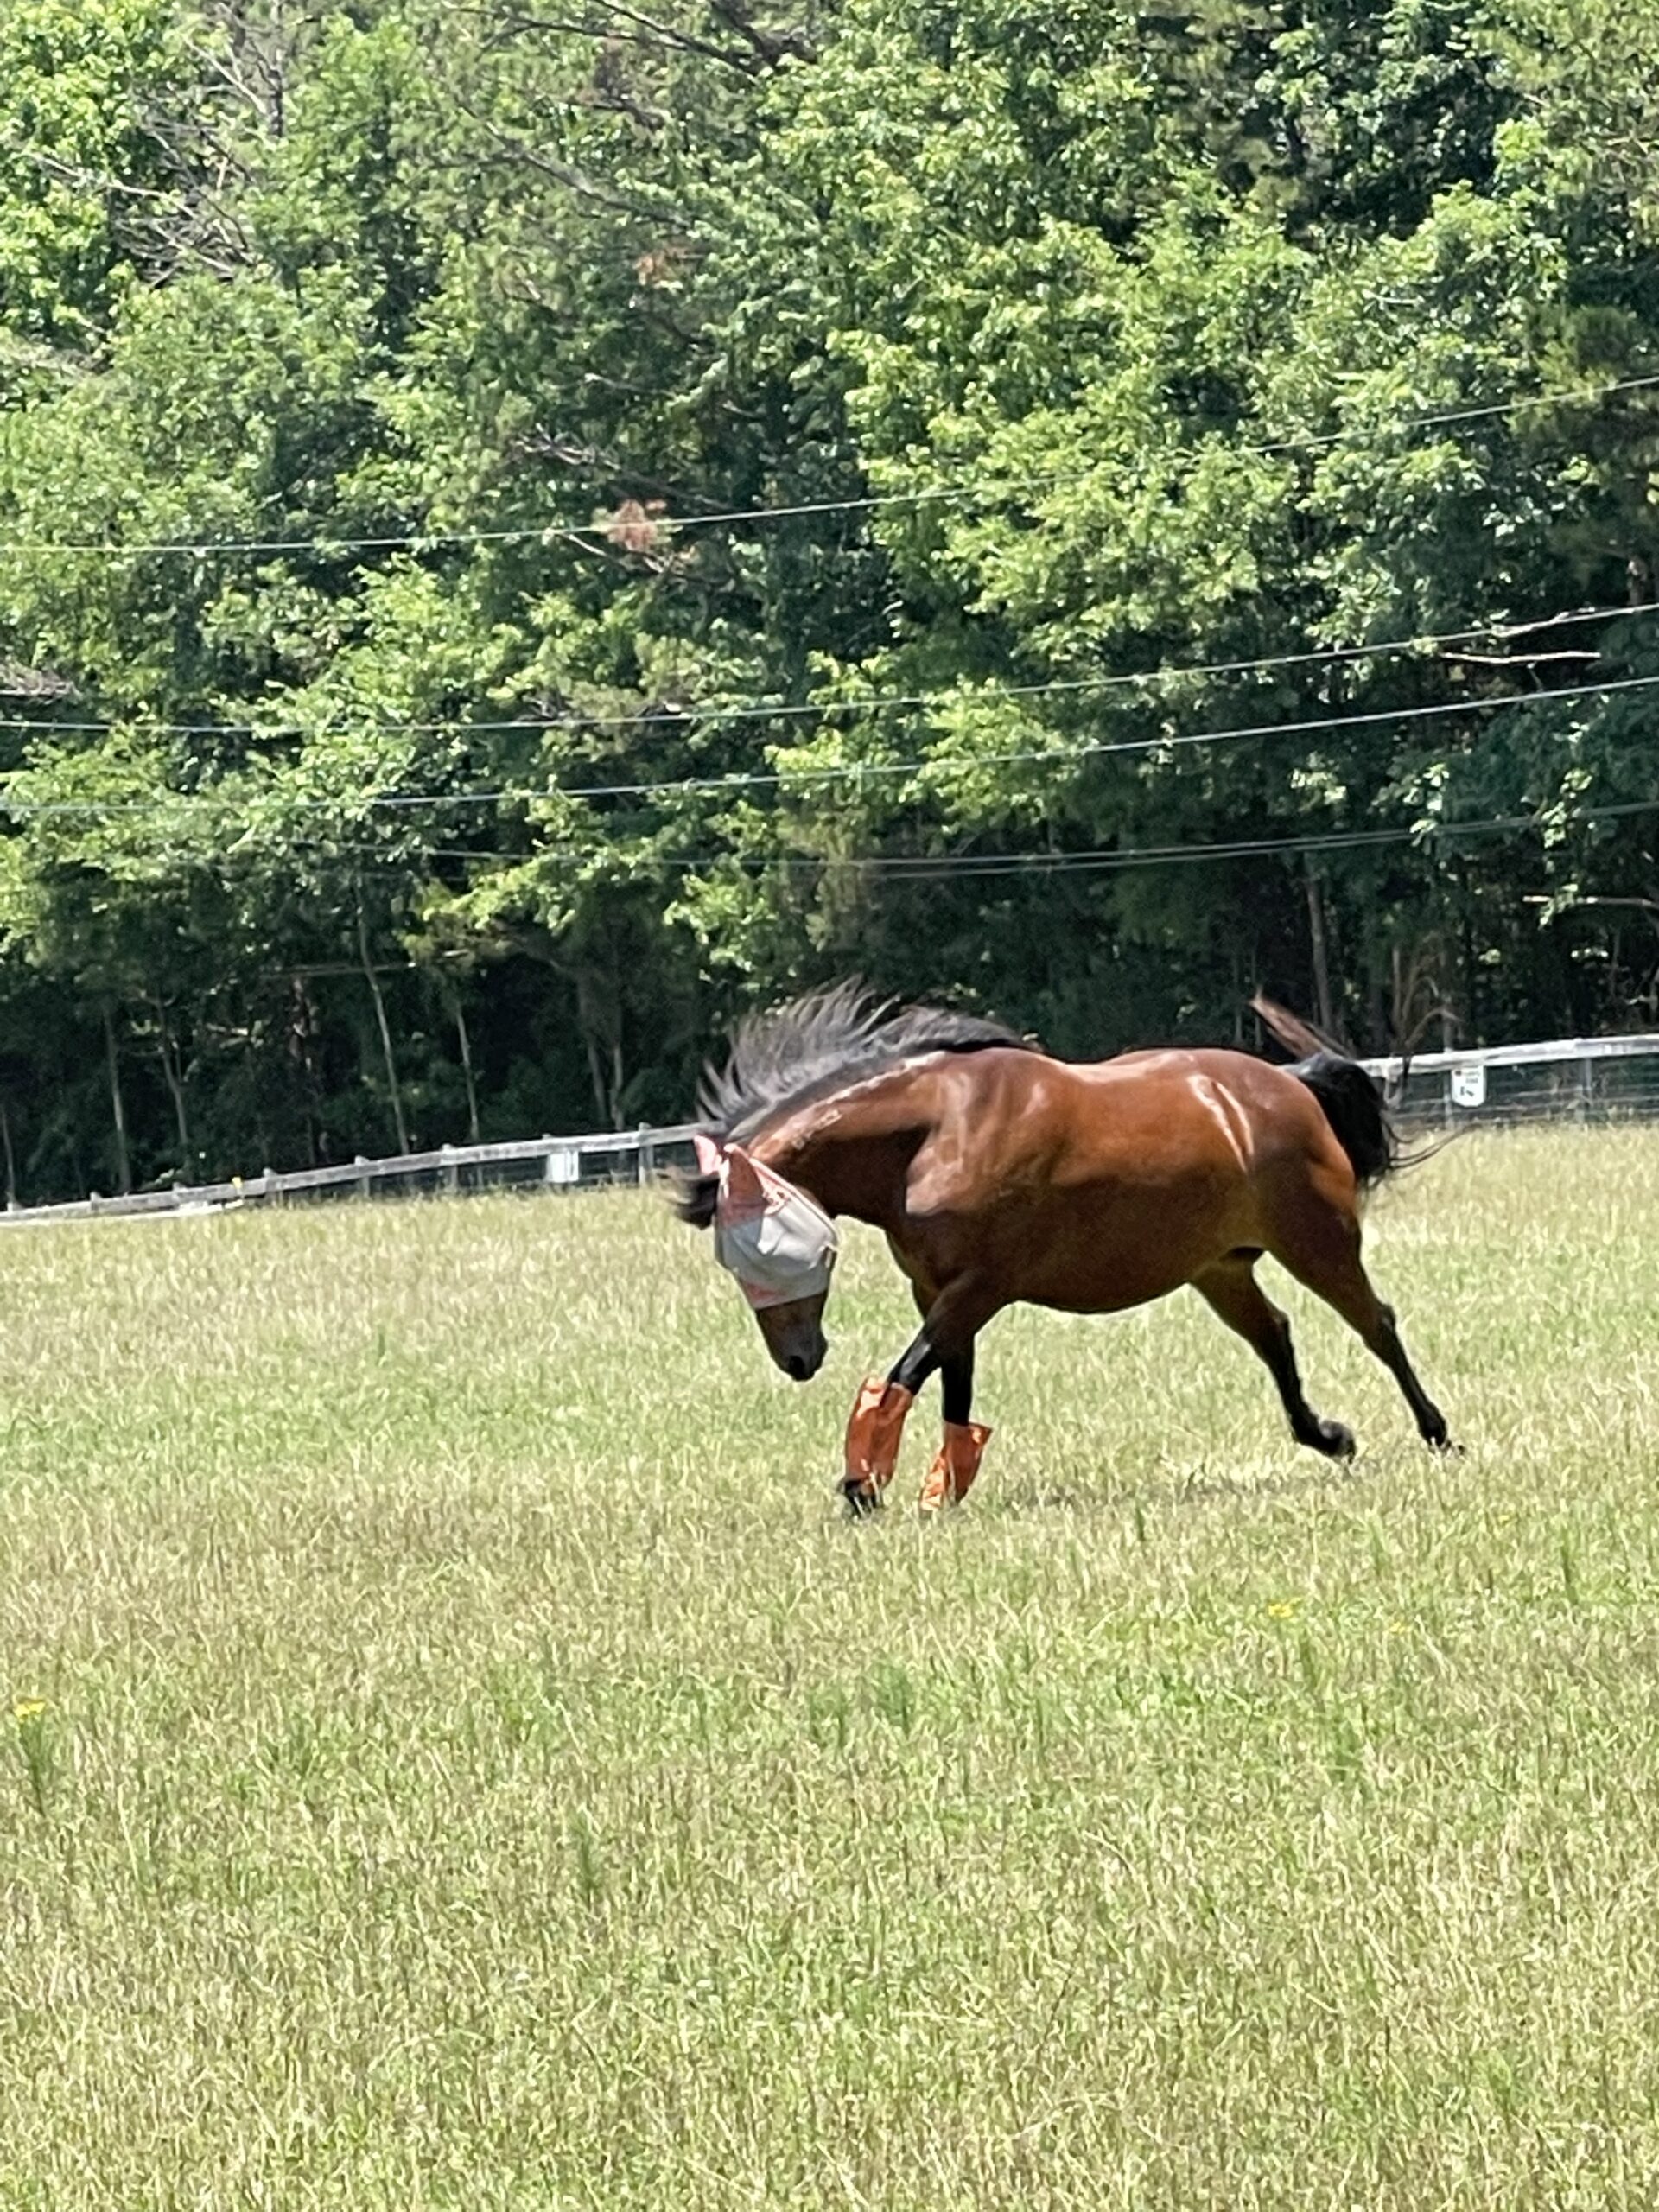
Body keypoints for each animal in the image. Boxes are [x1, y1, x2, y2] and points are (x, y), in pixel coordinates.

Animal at [677, 995, 1451, 1513]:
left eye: (758, 1252)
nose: (797, 1360)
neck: (938, 1130)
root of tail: (1289, 1084)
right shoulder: (939, 1291)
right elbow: (953, 1388)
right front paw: (945, 1489)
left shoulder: (978, 1288)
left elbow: (907, 1374)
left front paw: (862, 1486)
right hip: (1218, 1268)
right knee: (1276, 1337)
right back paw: (1330, 1436)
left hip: (1317, 1242)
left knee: (1377, 1326)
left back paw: (1438, 1434)